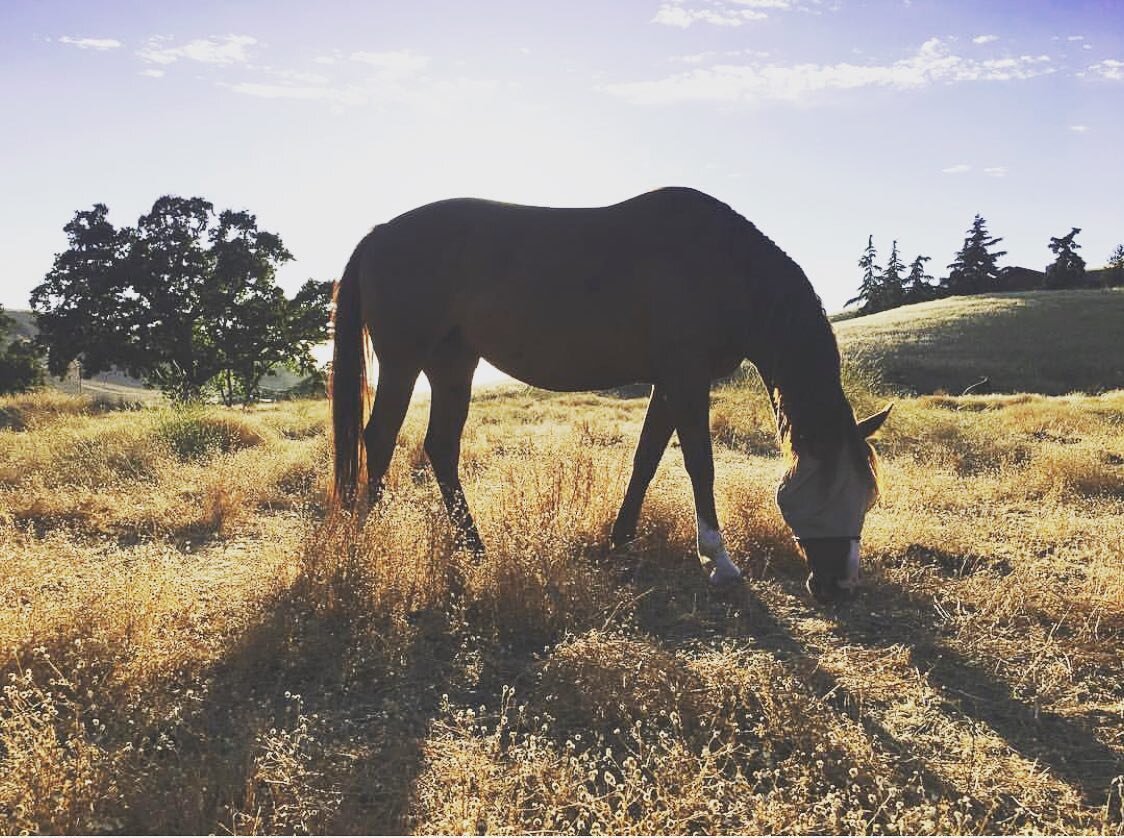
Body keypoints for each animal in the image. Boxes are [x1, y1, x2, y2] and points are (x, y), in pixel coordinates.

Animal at [328, 186, 890, 597]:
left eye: (868, 496)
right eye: (833, 491)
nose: (840, 585)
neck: (723, 266)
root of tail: (379, 235)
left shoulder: (670, 380)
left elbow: (647, 458)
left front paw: (621, 538)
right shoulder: (686, 377)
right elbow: (700, 464)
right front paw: (719, 561)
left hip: (453, 364)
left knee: (440, 448)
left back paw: (475, 549)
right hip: (404, 361)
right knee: (379, 441)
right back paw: (366, 544)